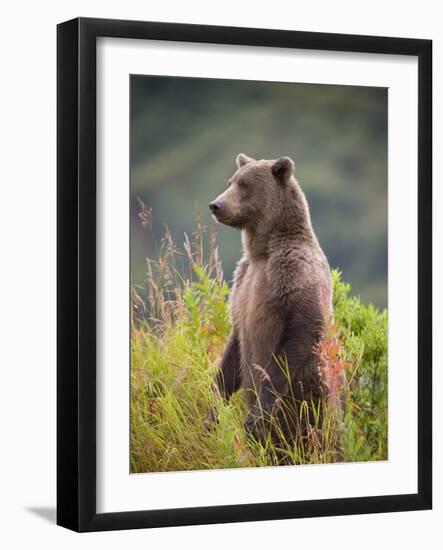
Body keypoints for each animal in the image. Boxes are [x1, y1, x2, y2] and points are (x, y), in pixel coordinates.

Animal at [208, 152, 332, 448]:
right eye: (231, 181)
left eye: (244, 185)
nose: (216, 205)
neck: (263, 252)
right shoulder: (243, 282)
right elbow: (234, 348)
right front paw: (212, 409)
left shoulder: (294, 275)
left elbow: (299, 334)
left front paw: (255, 417)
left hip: (312, 398)